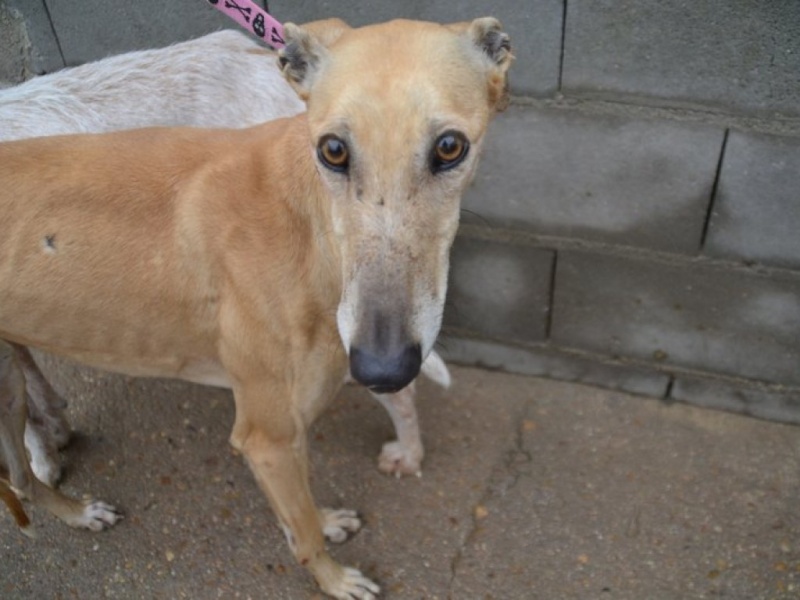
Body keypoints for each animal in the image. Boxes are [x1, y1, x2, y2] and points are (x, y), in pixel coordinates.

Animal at [0, 16, 512, 596]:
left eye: (450, 147)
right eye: (332, 150)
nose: (383, 368)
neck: (305, 225)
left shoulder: (288, 427)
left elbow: (302, 509)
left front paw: (329, 525)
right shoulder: (266, 436)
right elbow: (302, 527)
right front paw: (336, 578)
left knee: (19, 479)